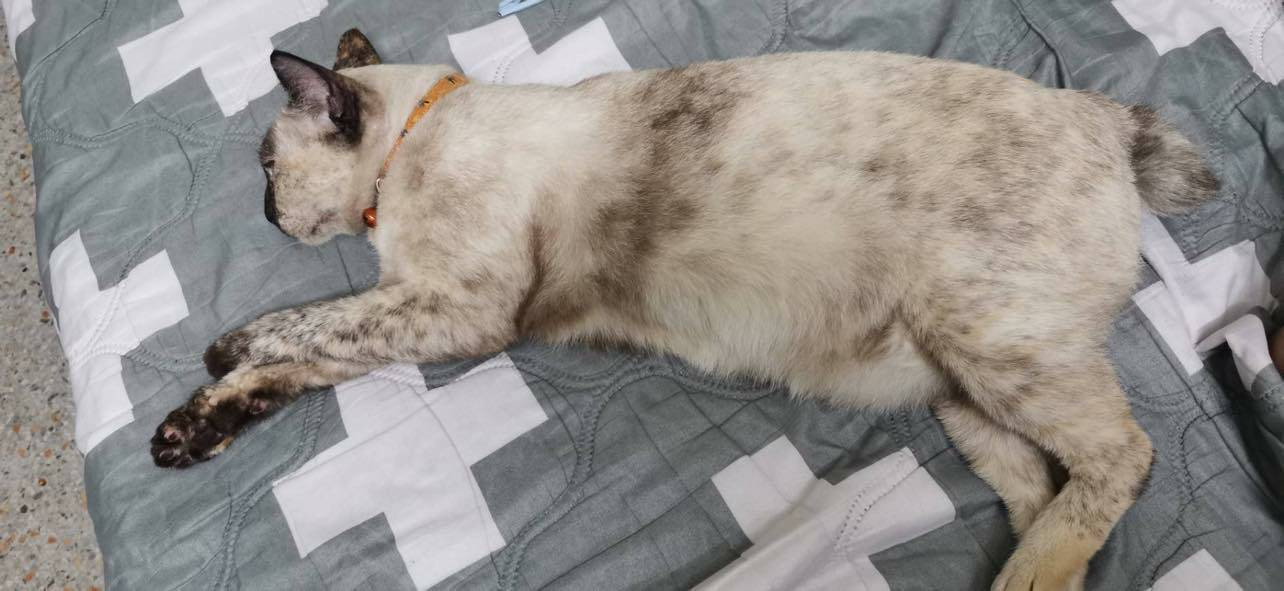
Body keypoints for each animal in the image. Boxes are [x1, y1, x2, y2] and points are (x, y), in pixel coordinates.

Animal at [150, 29, 1217, 591]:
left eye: (264, 166)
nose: (263, 212)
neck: (409, 149)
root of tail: (1106, 117)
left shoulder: (450, 309)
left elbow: (296, 325)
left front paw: (220, 349)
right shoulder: (410, 308)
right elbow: (296, 363)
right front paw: (186, 434)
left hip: (989, 340)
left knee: (1125, 457)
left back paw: (1033, 566)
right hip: (960, 390)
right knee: (1043, 482)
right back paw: (1033, 570)